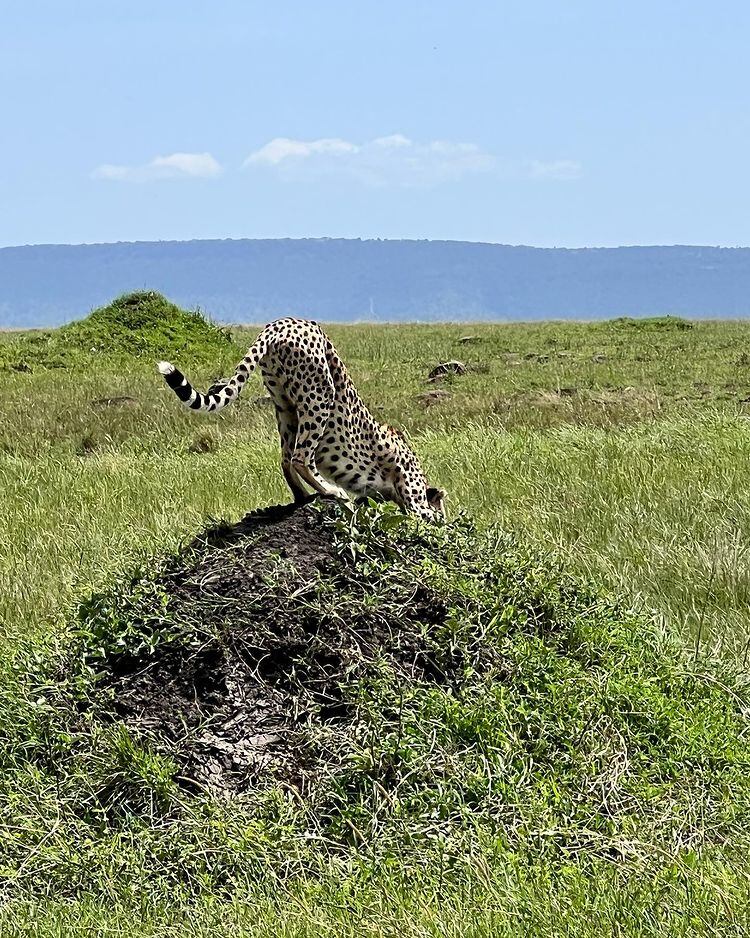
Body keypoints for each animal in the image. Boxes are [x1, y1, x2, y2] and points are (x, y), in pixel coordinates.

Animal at [154, 314, 446, 520]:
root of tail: (281, 322)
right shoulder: (414, 500)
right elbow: (425, 516)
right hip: (320, 395)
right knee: (301, 456)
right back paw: (330, 491)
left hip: (284, 405)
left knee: (285, 457)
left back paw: (302, 497)